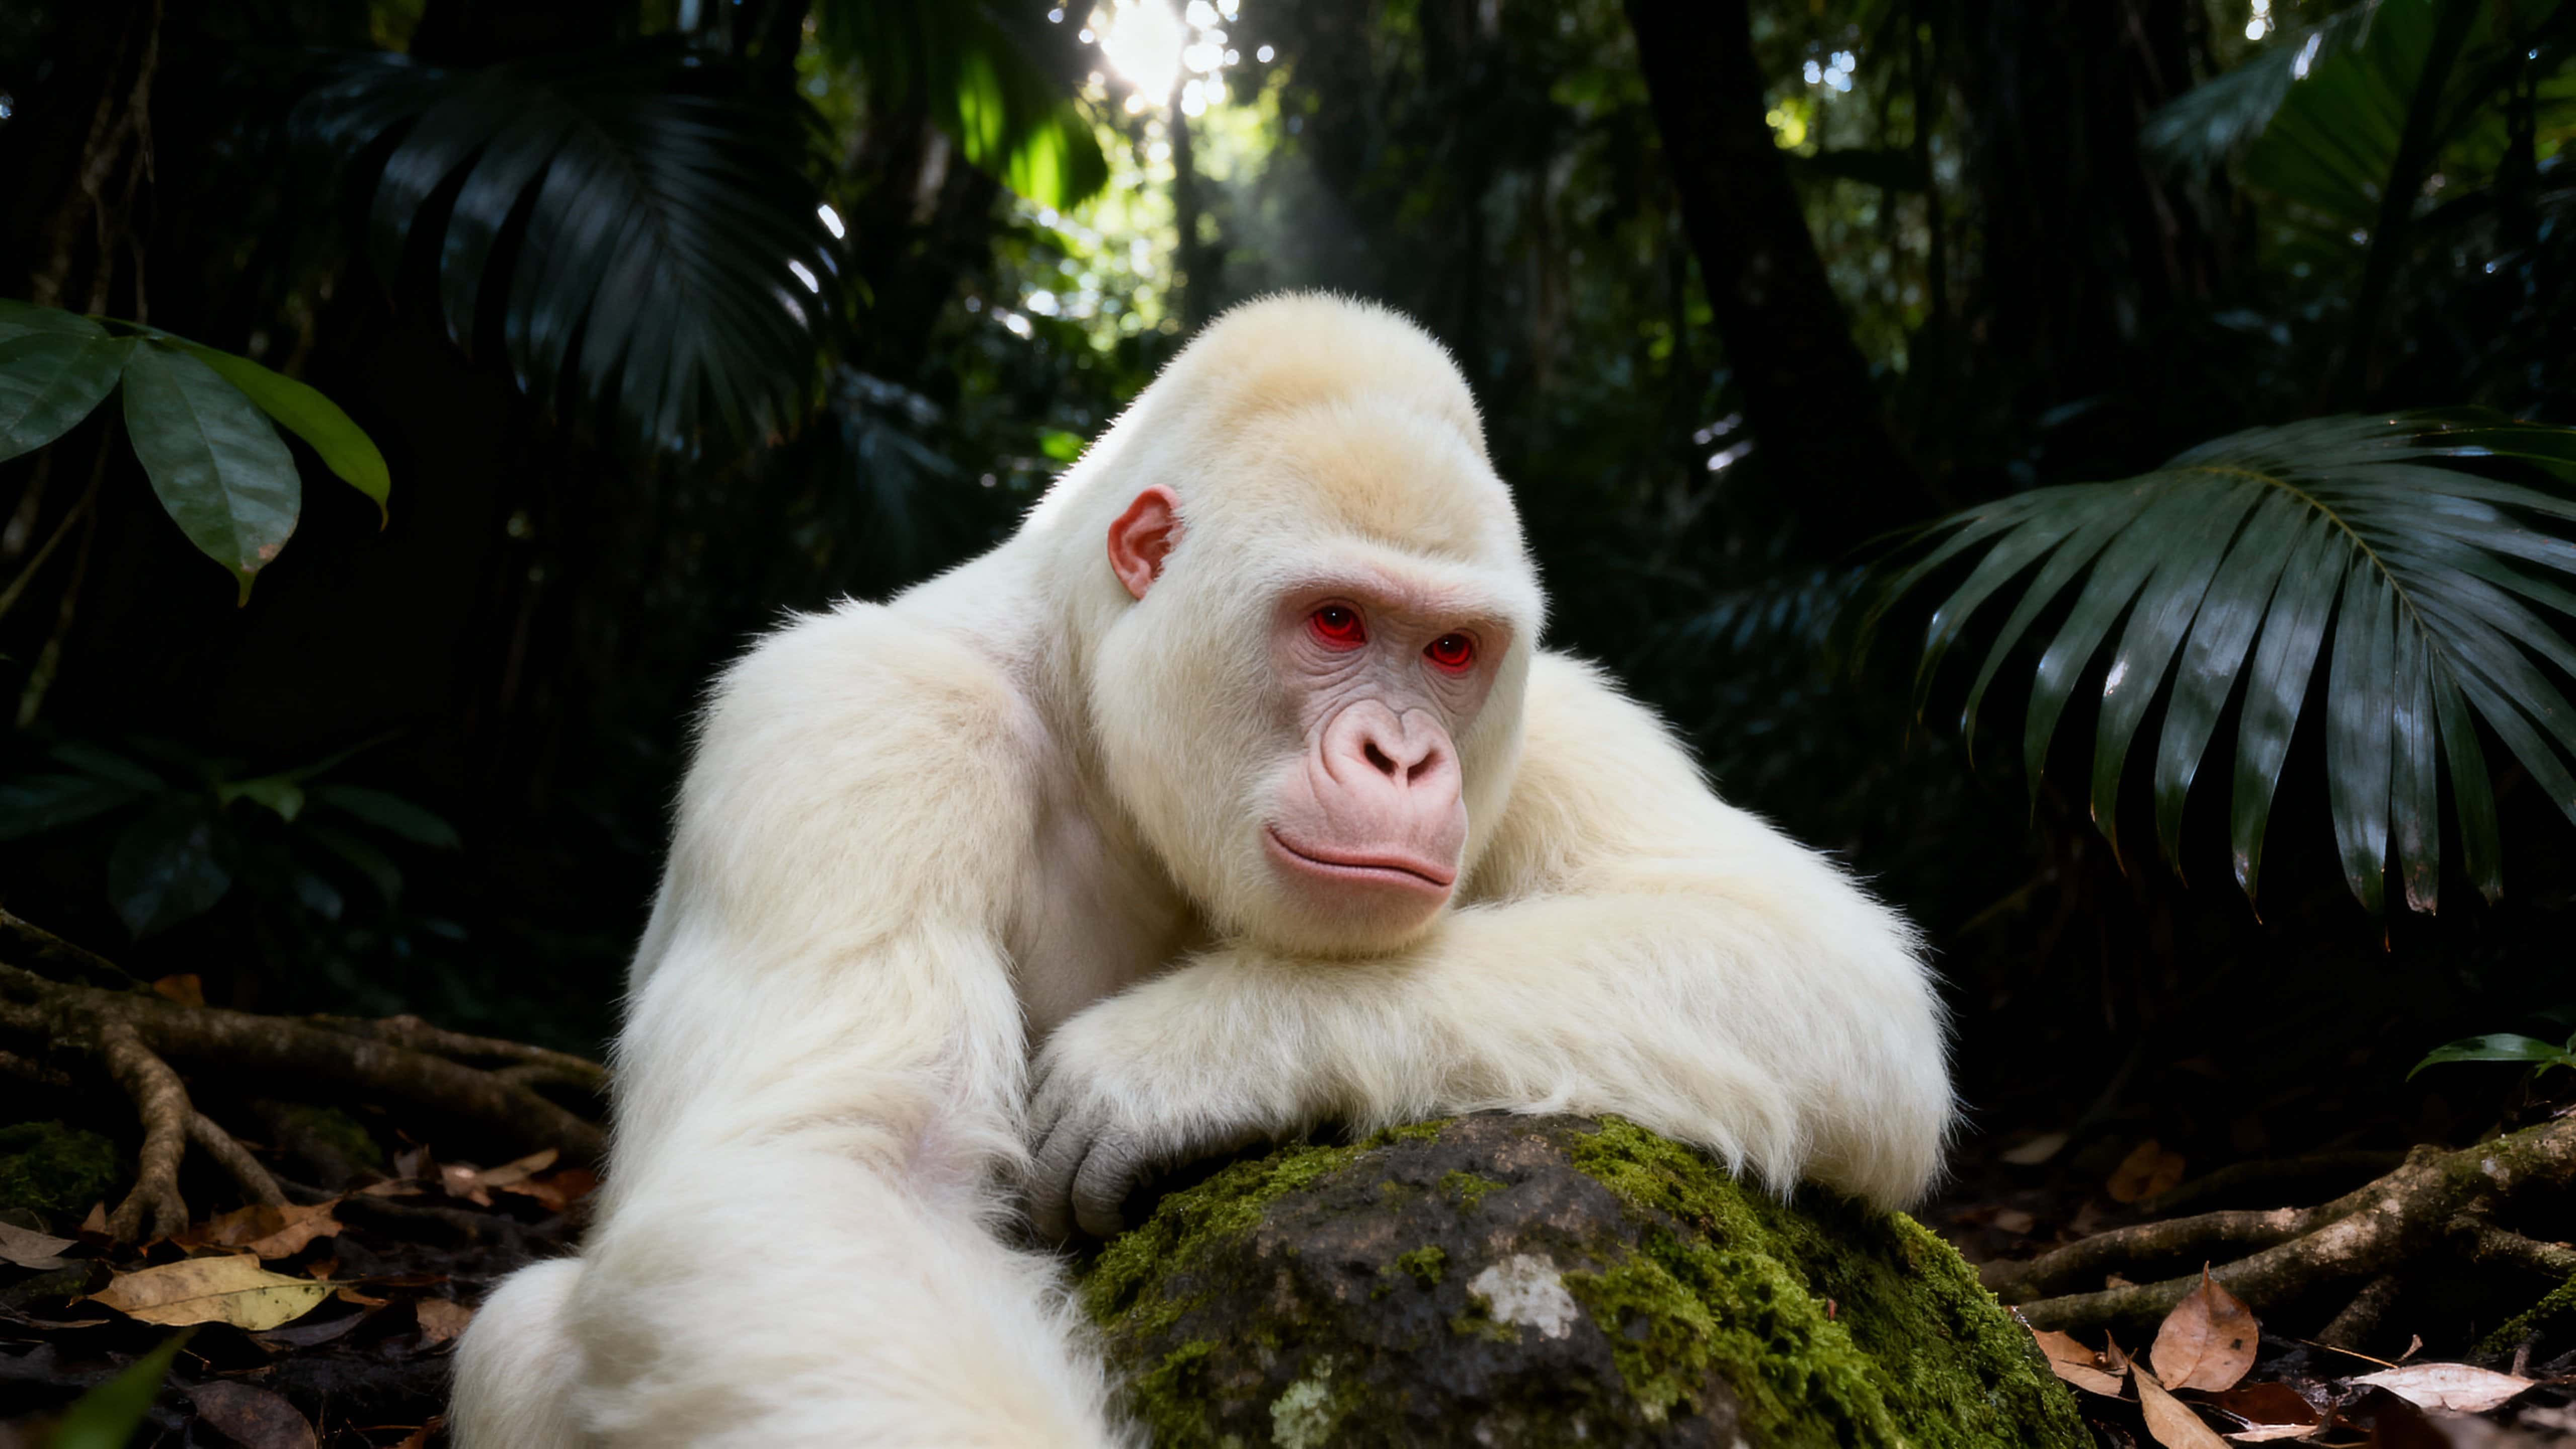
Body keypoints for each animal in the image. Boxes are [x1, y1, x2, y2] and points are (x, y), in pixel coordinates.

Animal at [450, 293, 1951, 1448]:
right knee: (524, 1335)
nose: (1403, 757)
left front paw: (1186, 1052)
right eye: (1334, 620)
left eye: (1449, 650)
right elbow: (821, 1178)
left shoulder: (1555, 717)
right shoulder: (861, 718)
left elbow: (1811, 958)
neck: (1086, 681)